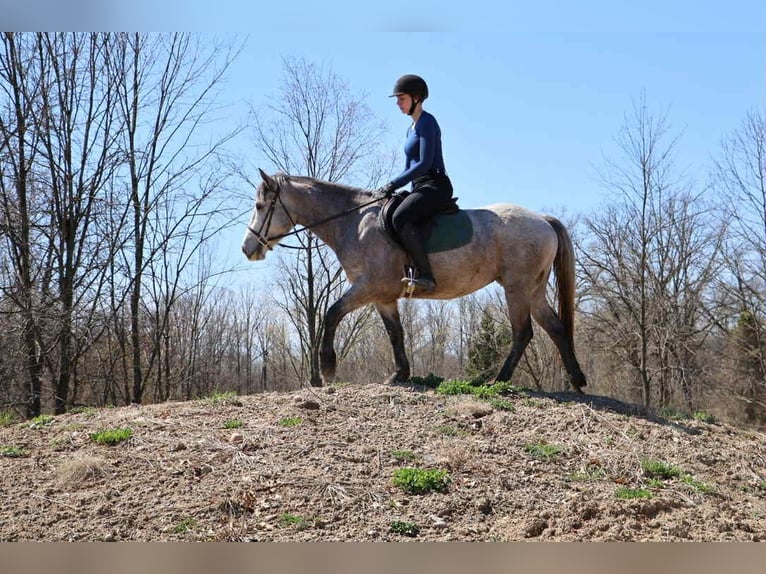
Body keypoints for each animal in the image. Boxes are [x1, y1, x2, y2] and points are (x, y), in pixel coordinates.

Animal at [241, 169, 587, 392]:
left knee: (523, 332)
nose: (248, 248)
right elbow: (395, 333)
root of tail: (542, 220)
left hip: (516, 287)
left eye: (260, 206)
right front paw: (400, 374)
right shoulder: (382, 297)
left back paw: (498, 380)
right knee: (555, 327)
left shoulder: (368, 287)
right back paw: (577, 380)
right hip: (534, 289)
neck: (353, 221)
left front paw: (328, 368)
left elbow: (332, 312)